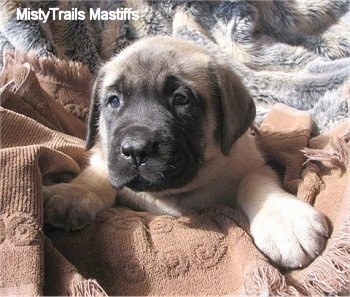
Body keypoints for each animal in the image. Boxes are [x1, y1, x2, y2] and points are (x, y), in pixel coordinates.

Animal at [43, 35, 328, 268]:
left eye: (181, 99)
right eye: (114, 101)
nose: (136, 150)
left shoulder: (251, 164)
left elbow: (253, 181)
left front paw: (285, 221)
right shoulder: (106, 162)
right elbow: (98, 175)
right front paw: (72, 193)